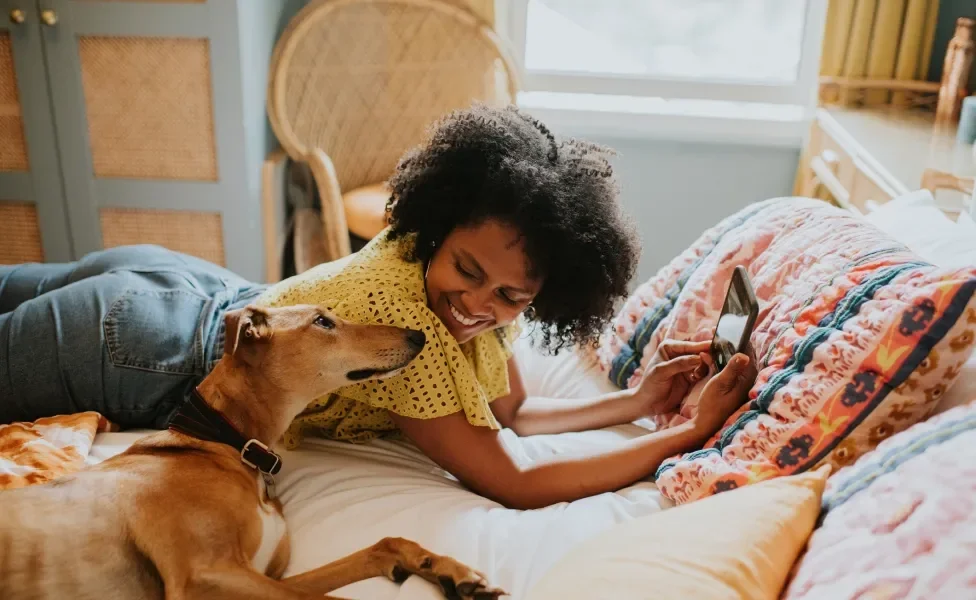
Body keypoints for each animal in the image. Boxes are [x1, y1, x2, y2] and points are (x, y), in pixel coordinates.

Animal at [0, 304, 504, 600]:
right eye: (323, 322)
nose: (418, 336)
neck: (226, 444)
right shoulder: (204, 576)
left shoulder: (264, 575)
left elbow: (382, 545)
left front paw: (447, 569)